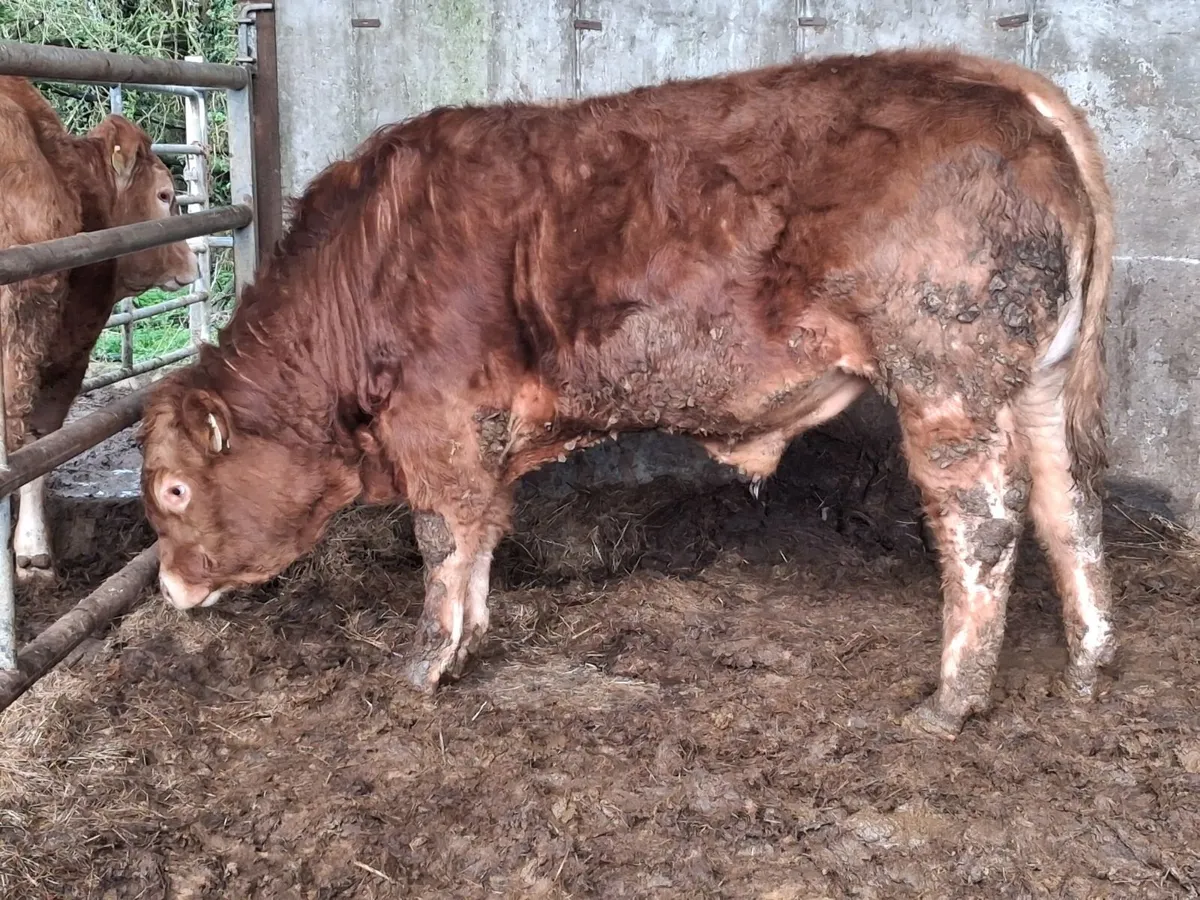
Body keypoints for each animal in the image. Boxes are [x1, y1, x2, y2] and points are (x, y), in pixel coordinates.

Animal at [139, 48, 1116, 738]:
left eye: (176, 490)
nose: (171, 591)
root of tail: (1001, 81)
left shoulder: (440, 424)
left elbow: (443, 541)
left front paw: (425, 666)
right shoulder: (481, 439)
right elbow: (483, 534)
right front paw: (473, 643)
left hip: (946, 377)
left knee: (986, 522)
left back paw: (953, 701)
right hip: (1037, 384)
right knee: (1070, 504)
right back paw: (1090, 659)